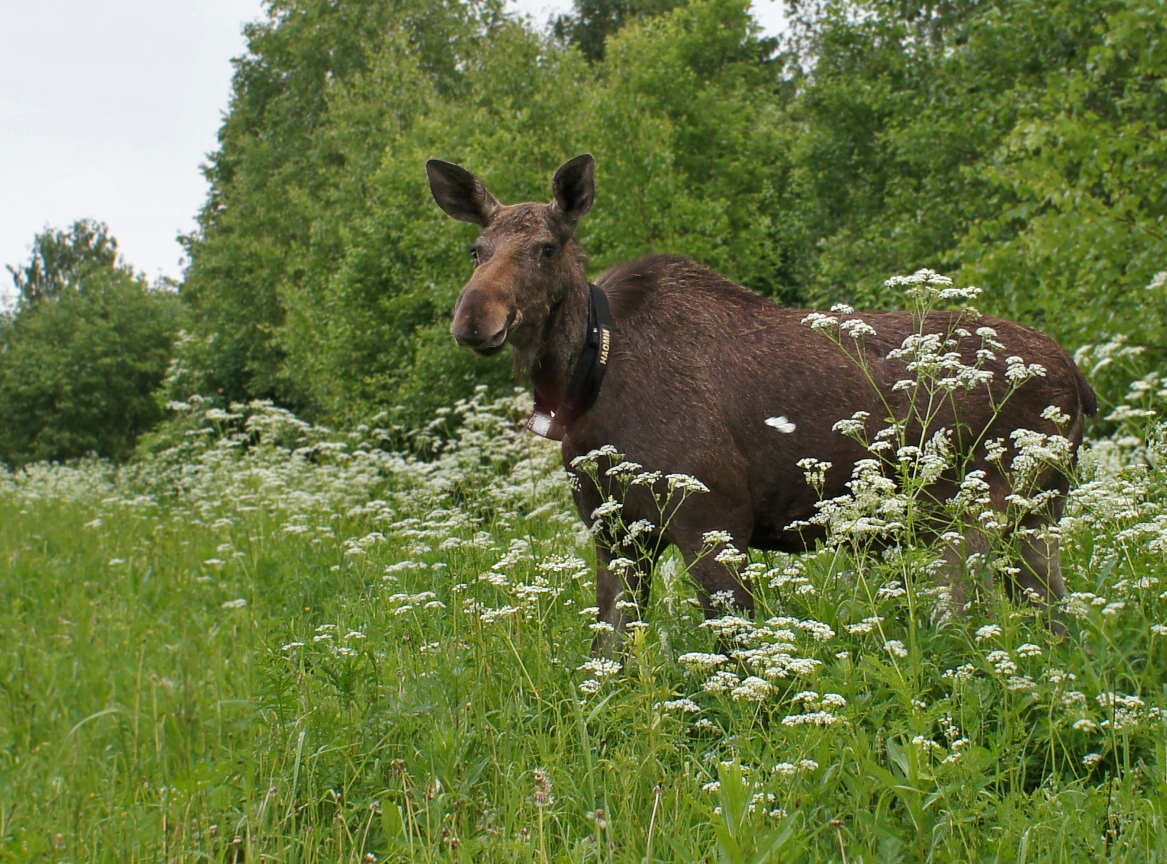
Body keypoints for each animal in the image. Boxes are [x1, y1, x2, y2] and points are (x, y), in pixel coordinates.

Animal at [427, 156, 1092, 653]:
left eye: (545, 247)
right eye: (476, 249)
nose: (473, 318)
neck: (589, 382)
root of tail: (1079, 381)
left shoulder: (714, 520)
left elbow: (738, 655)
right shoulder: (615, 533)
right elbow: (609, 657)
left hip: (979, 510)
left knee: (961, 620)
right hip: (1037, 516)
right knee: (1061, 622)